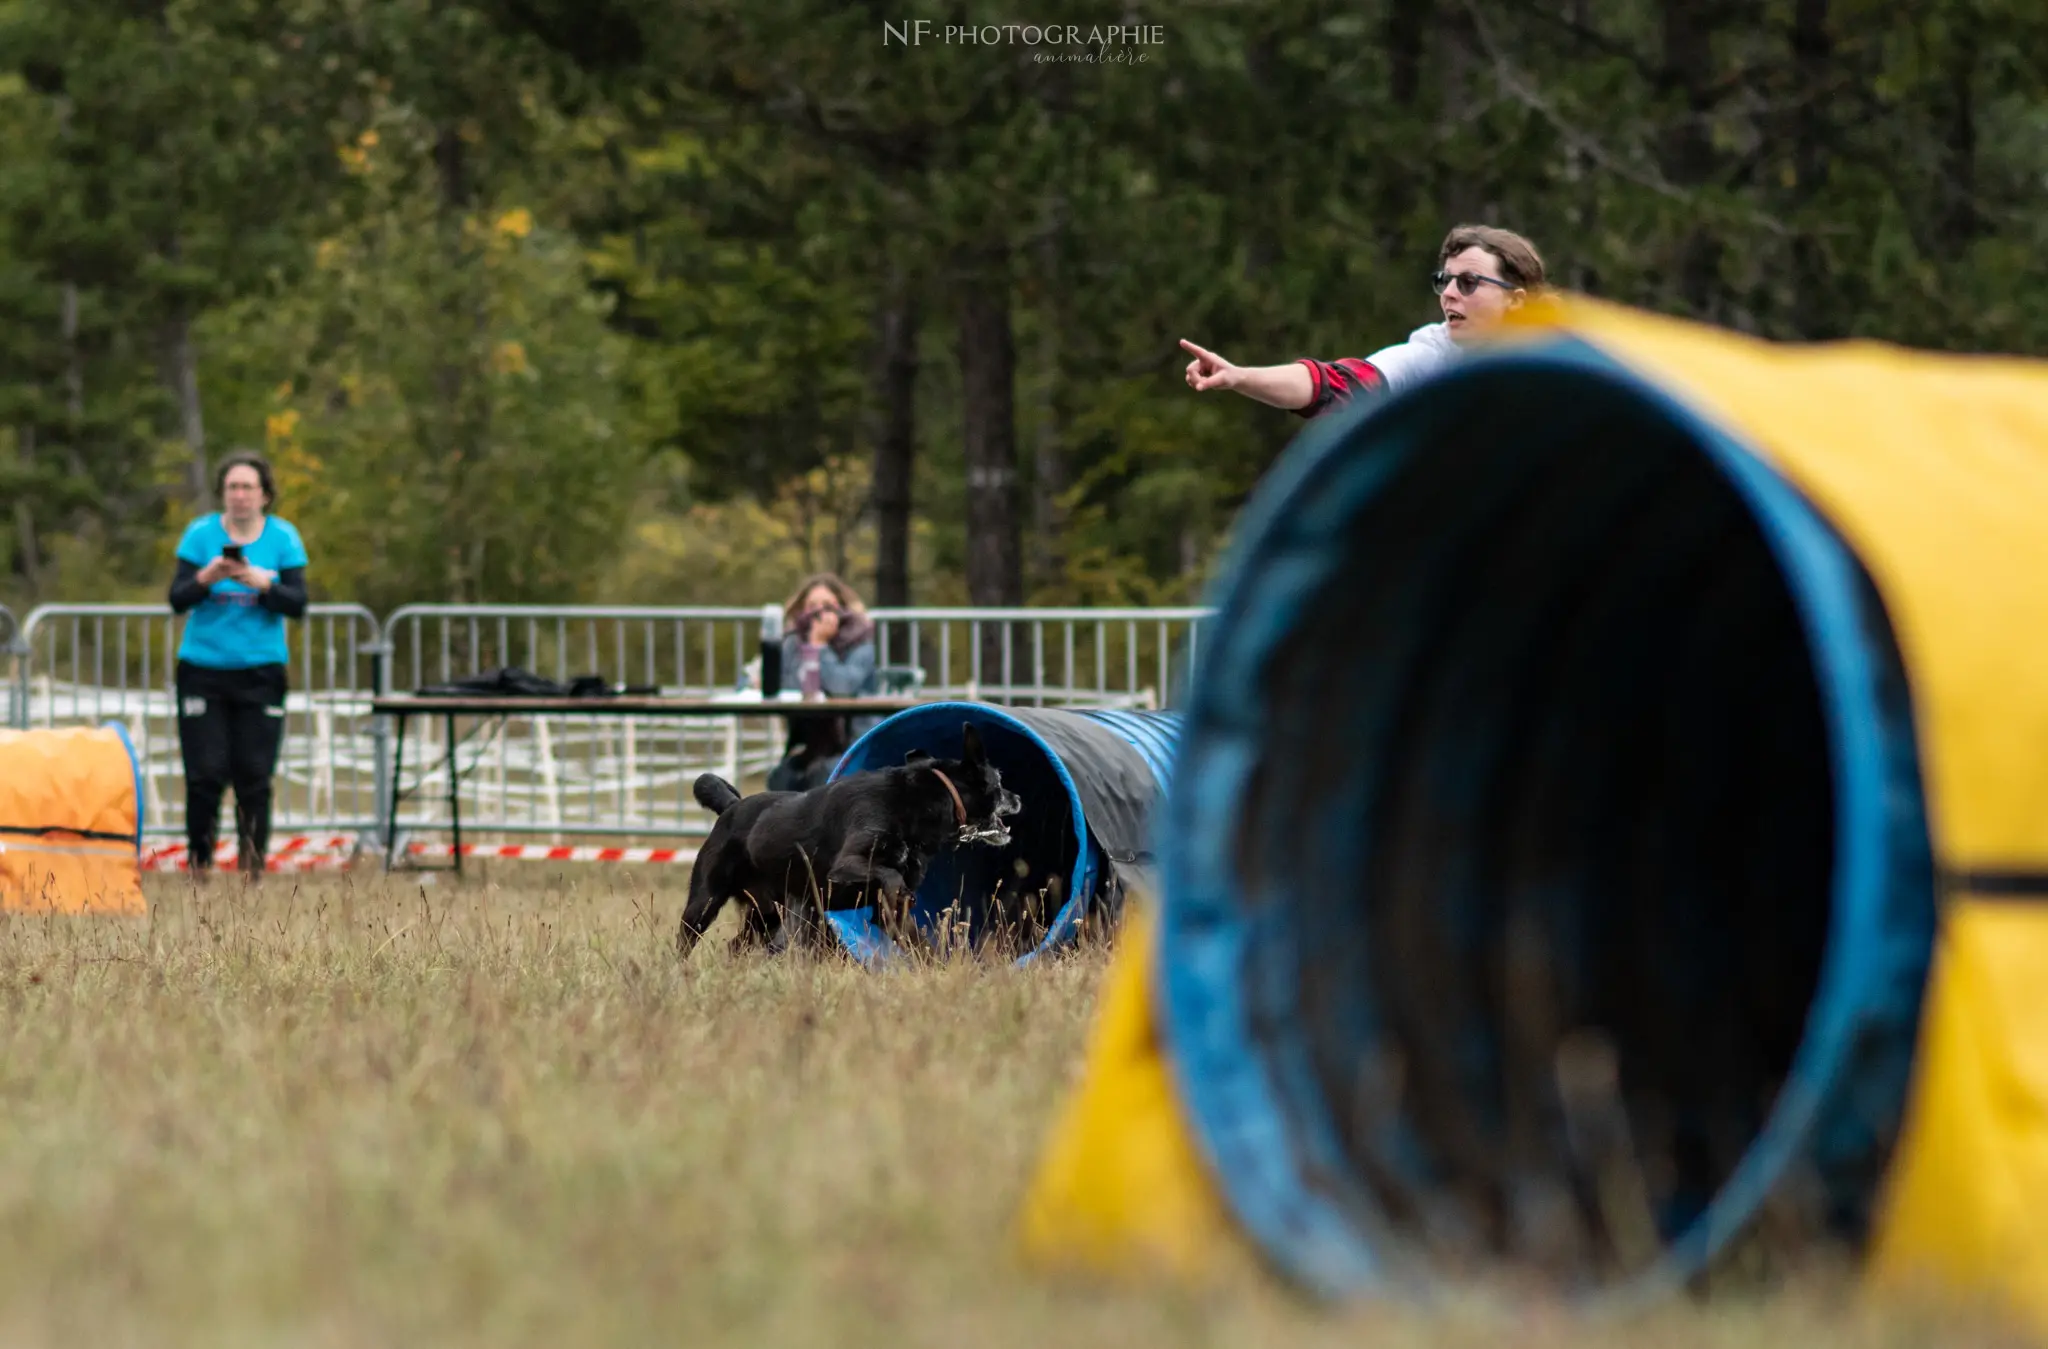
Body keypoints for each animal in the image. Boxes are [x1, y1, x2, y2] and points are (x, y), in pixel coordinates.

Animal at [675, 724, 1019, 953]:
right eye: (1000, 781)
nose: (1017, 798)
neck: (917, 801)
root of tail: (731, 806)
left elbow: (917, 942)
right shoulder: (845, 866)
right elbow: (890, 876)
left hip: (765, 915)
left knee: (735, 947)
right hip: (704, 902)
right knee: (683, 943)